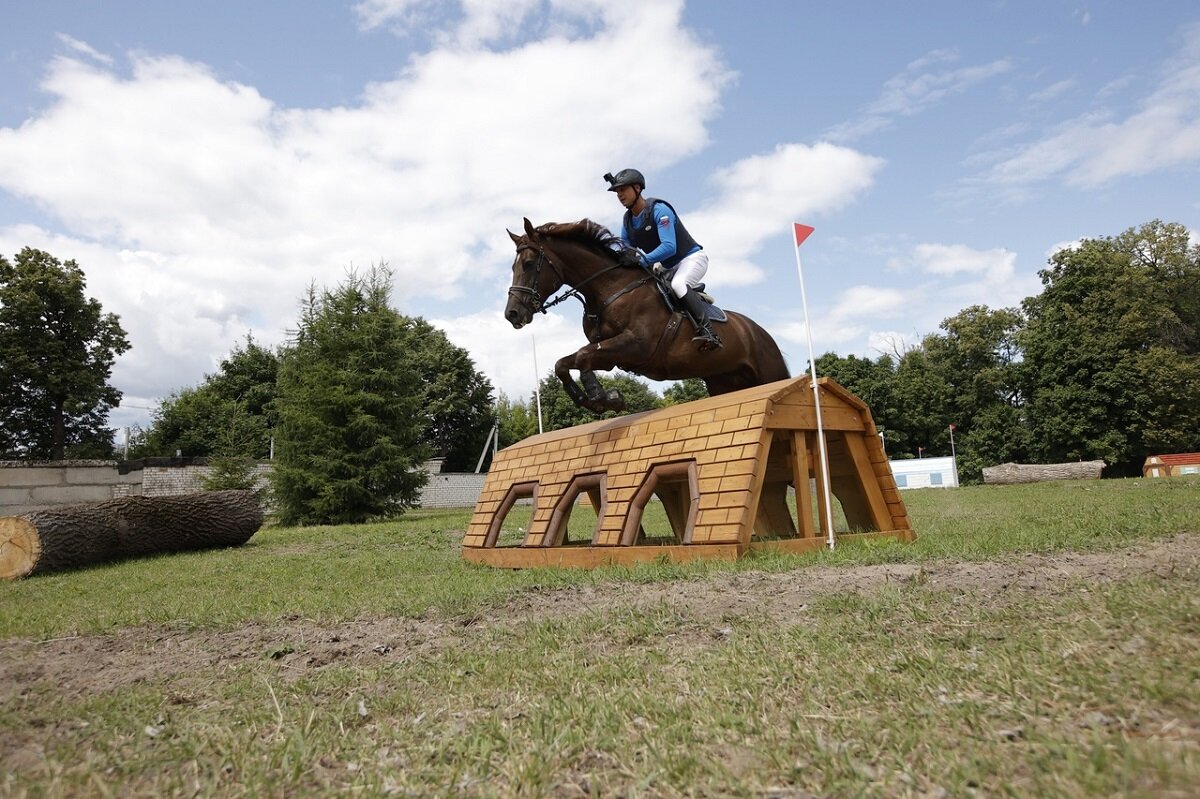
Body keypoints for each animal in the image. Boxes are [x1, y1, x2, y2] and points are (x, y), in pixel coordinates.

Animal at [504, 215, 792, 410]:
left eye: (528, 264)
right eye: (513, 266)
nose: (512, 314)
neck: (609, 288)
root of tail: (759, 331)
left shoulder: (637, 345)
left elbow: (583, 356)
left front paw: (602, 397)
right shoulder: (609, 353)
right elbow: (565, 363)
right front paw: (596, 399)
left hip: (769, 373)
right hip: (724, 381)